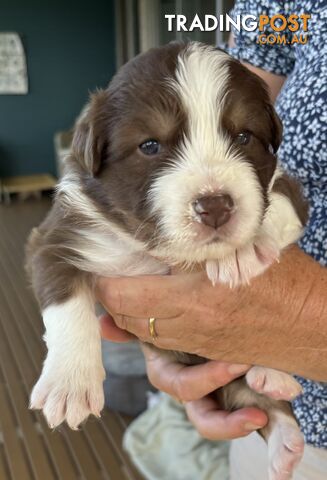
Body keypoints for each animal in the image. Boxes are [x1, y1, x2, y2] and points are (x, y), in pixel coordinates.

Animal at [26, 42, 308, 480]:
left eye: (244, 136)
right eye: (150, 146)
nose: (215, 205)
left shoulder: (293, 190)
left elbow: (278, 203)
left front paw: (242, 249)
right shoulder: (56, 239)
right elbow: (67, 307)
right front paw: (69, 384)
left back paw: (274, 381)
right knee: (252, 401)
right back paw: (283, 437)